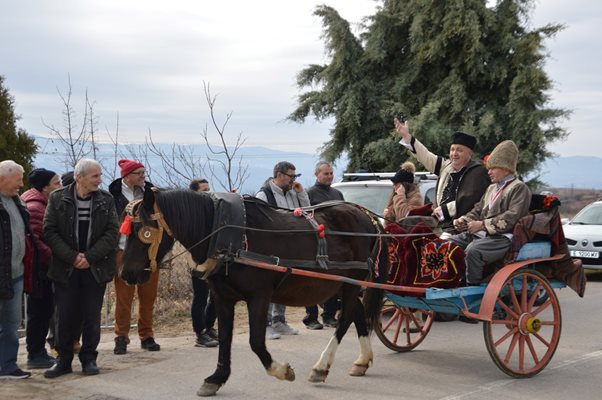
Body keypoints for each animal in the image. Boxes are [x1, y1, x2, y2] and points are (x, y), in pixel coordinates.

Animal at [119, 188, 386, 396]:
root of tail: (369, 218)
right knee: (357, 312)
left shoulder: (259, 297)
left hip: (351, 281)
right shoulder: (222, 298)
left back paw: (321, 367)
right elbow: (225, 338)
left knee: (346, 318)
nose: (126, 274)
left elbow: (256, 341)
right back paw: (362, 361)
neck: (227, 236)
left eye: (144, 231)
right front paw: (216, 378)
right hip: (338, 283)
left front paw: (281, 370)